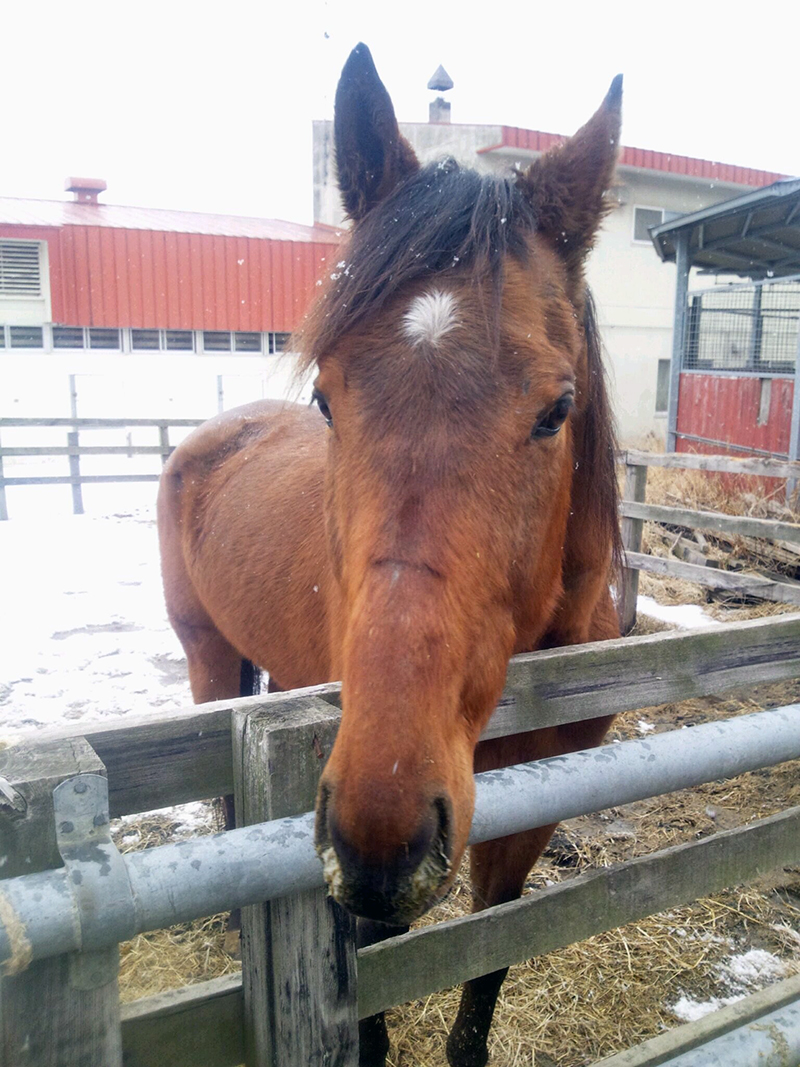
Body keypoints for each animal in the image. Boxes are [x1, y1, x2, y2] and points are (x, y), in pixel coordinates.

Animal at [160, 41, 627, 1067]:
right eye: (327, 398)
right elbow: (366, 990)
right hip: (210, 661)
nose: (384, 828)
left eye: (556, 409)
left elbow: (487, 963)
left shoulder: (522, 823)